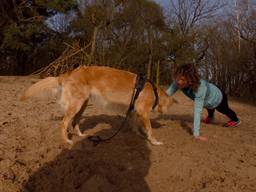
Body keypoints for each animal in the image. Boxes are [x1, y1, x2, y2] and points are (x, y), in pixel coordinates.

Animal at [21, 66, 175, 146]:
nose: (163, 114)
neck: (154, 91)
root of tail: (69, 73)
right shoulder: (143, 112)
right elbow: (149, 129)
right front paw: (154, 141)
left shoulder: (133, 111)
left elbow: (135, 124)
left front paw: (137, 134)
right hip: (76, 104)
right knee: (64, 123)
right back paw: (67, 140)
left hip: (82, 104)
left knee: (75, 122)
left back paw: (81, 135)